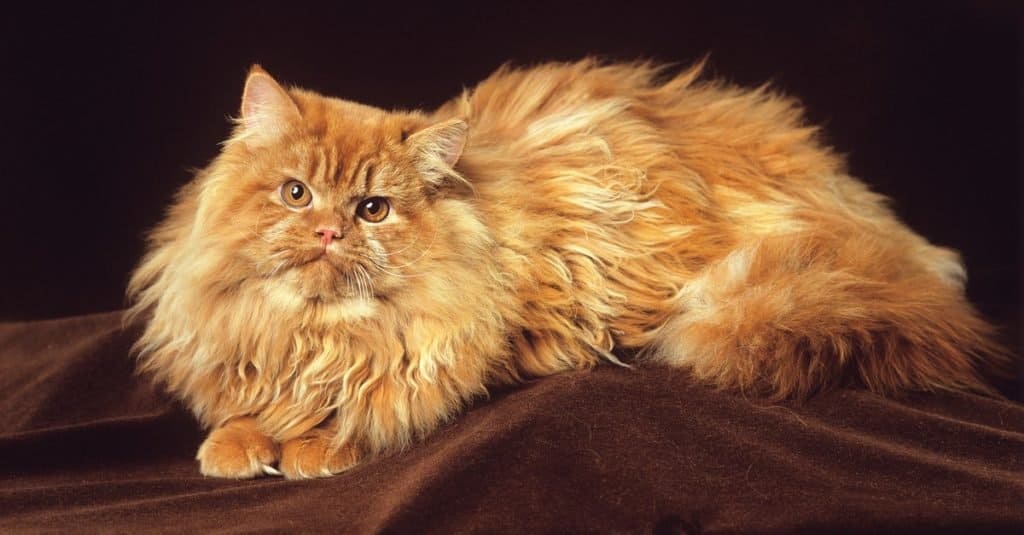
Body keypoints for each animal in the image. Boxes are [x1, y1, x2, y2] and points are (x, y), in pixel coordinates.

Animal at [125, 59, 1007, 479]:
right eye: (296, 192)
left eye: (373, 208)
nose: (328, 231)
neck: (310, 334)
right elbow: (244, 405)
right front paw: (240, 441)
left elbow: (369, 404)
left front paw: (313, 443)